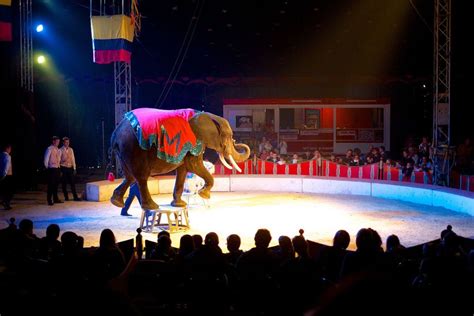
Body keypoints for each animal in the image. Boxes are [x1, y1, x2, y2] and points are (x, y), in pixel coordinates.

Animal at [110, 108, 252, 210]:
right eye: (228, 136)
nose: (237, 142)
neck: (208, 116)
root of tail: (117, 130)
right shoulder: (195, 140)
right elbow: (194, 166)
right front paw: (204, 194)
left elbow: (183, 170)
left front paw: (179, 204)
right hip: (134, 147)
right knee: (141, 176)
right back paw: (151, 206)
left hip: (124, 151)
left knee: (130, 176)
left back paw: (117, 202)